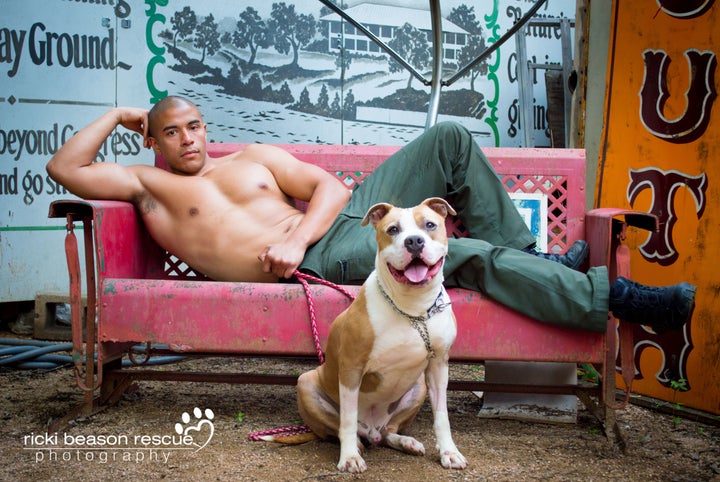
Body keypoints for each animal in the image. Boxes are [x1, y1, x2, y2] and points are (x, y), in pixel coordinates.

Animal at [294, 198, 466, 472]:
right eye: (393, 229)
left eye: (430, 225)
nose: (414, 241)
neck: (413, 310)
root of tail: (371, 429)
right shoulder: (351, 368)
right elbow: (348, 419)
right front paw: (349, 457)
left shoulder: (439, 366)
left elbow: (442, 416)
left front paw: (449, 452)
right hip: (306, 383)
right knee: (340, 429)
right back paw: (357, 444)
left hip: (418, 387)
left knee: (388, 432)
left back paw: (406, 442)